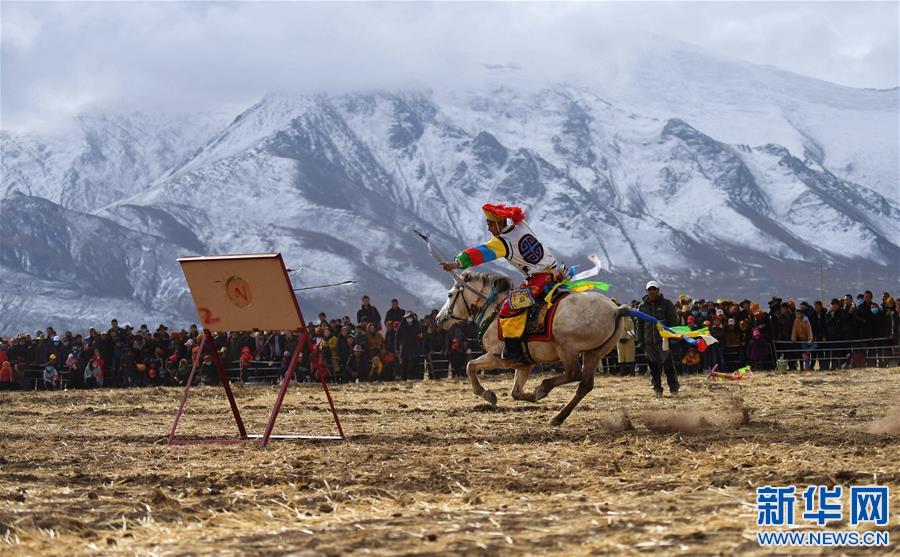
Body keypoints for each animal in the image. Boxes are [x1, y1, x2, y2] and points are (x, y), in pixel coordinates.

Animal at [438, 270, 632, 426]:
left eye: (449, 294)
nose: (439, 319)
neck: (495, 312)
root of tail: (615, 310)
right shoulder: (524, 364)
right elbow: (515, 392)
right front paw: (529, 397)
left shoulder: (497, 357)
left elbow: (470, 366)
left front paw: (486, 394)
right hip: (594, 353)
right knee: (584, 385)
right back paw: (558, 416)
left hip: (566, 348)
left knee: (574, 374)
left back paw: (544, 388)